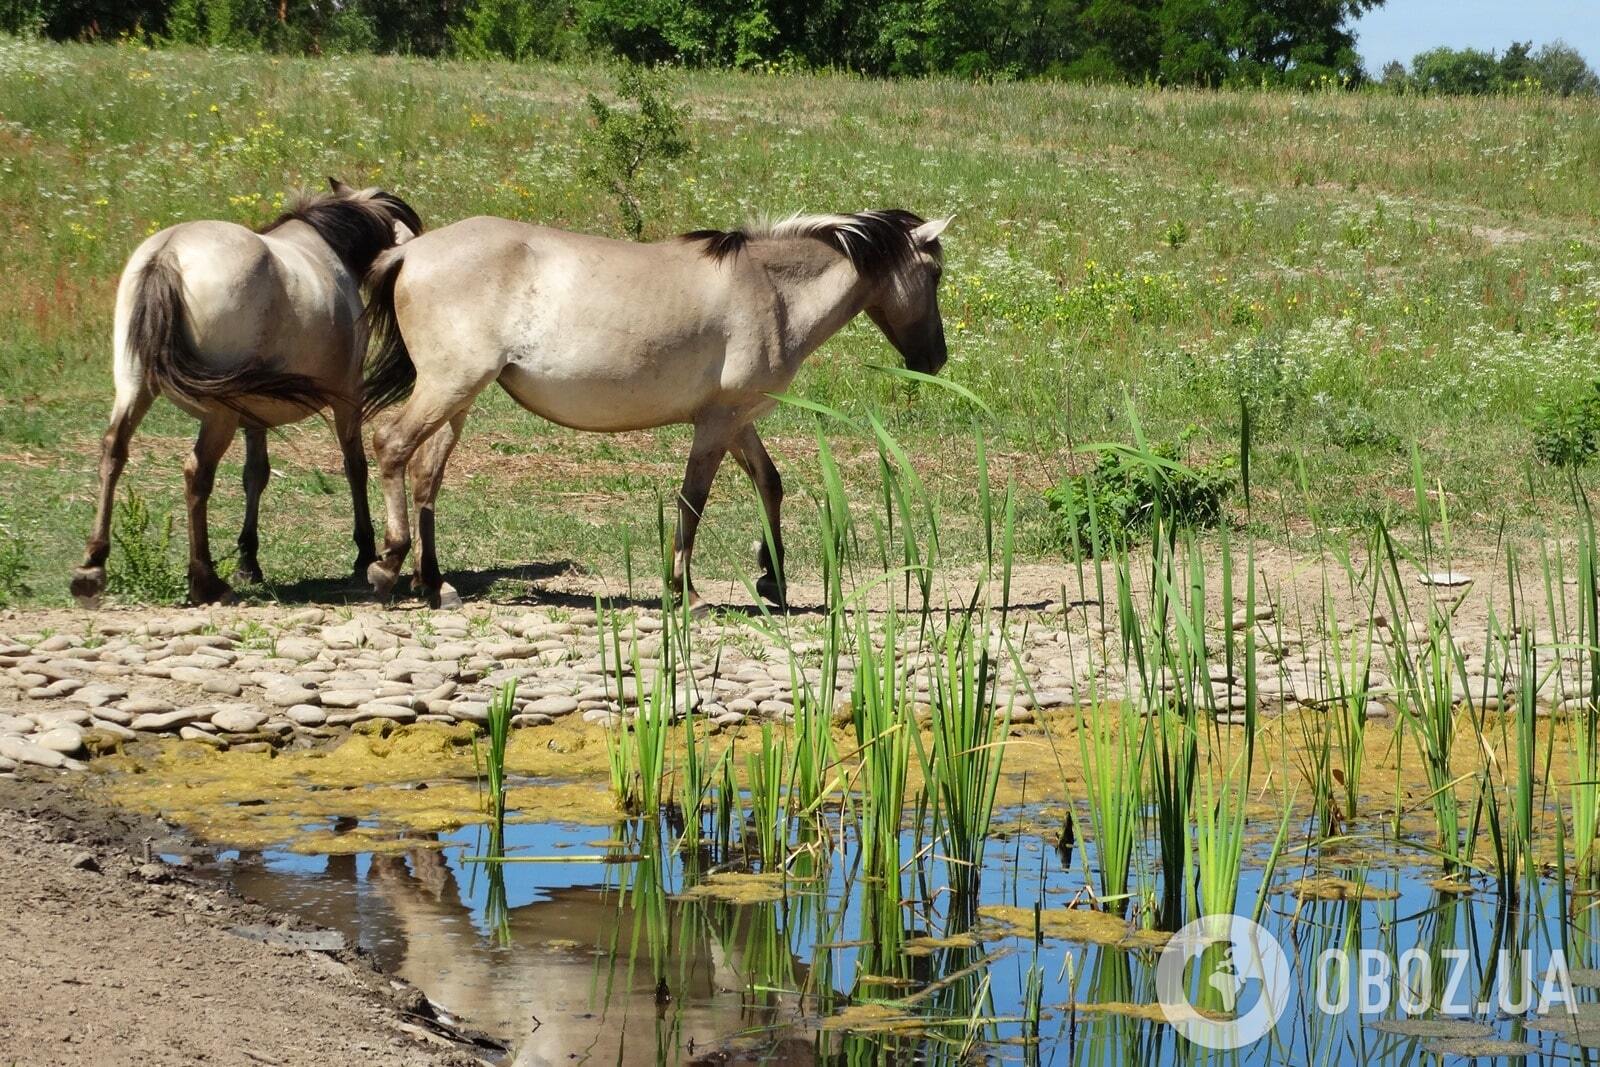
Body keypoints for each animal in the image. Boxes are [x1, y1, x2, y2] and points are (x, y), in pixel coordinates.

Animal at [71, 179, 422, 604]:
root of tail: (167, 252)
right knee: (196, 473)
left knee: (113, 453)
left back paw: (92, 566)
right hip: (217, 413)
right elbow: (354, 466)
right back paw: (204, 579)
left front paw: (248, 562)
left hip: (134, 388)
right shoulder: (348, 398)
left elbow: (255, 475)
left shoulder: (255, 413)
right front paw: (365, 553)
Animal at [360, 207, 947, 607]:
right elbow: (693, 500)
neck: (771, 290)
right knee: (392, 446)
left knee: (426, 474)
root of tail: (410, 251)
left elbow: (769, 483)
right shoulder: (717, 423)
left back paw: (435, 584)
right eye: (936, 275)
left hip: (459, 398)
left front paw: (772, 580)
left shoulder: (735, 421)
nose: (935, 358)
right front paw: (684, 589)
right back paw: (387, 567)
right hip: (448, 386)